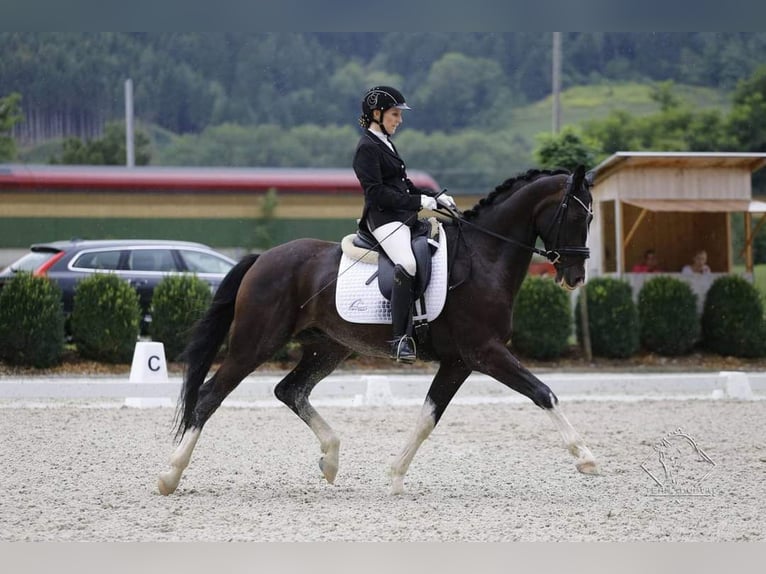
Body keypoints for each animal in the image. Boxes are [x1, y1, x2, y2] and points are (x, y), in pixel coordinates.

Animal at [156, 164, 600, 498]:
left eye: (592, 217)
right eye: (579, 216)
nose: (575, 277)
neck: (484, 258)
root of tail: (263, 258)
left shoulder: (459, 361)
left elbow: (428, 417)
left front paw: (395, 477)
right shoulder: (485, 352)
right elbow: (543, 392)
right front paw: (585, 457)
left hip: (328, 348)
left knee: (290, 390)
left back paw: (331, 460)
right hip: (255, 342)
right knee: (209, 396)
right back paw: (170, 476)